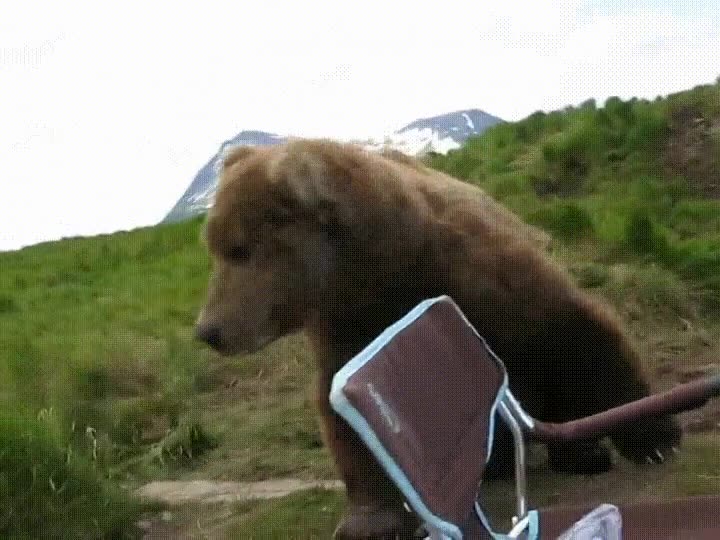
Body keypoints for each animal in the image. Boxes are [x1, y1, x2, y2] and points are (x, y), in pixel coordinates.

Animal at [194, 138, 682, 539]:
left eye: (238, 250)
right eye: (214, 247)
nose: (208, 330)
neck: (377, 269)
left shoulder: (476, 274)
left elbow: (576, 327)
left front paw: (655, 439)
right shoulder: (349, 328)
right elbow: (350, 413)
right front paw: (369, 520)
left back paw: (581, 453)